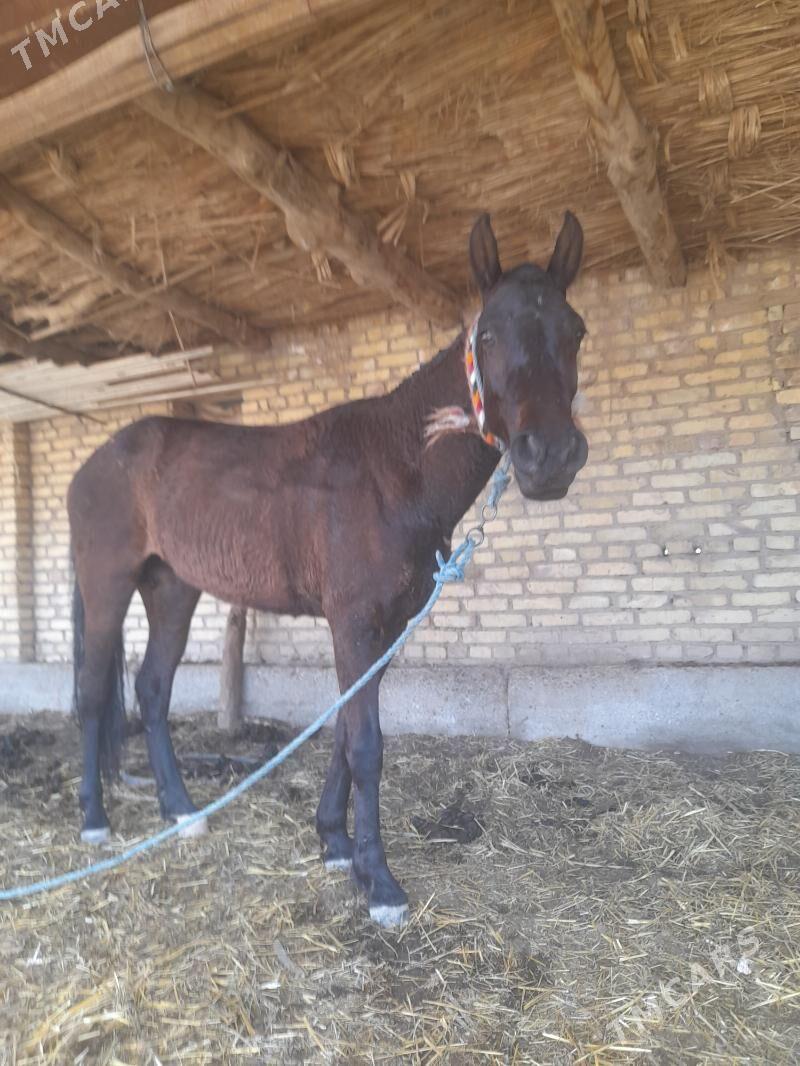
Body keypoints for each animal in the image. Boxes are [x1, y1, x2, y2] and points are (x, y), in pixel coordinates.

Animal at [68, 211, 588, 926]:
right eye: (487, 333)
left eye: (577, 332)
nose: (552, 456)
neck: (393, 467)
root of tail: (94, 463)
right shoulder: (354, 620)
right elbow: (366, 742)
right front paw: (381, 883)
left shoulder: (387, 624)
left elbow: (345, 729)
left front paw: (336, 845)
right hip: (108, 584)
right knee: (96, 693)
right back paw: (95, 820)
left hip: (172, 588)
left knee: (150, 689)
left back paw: (182, 812)